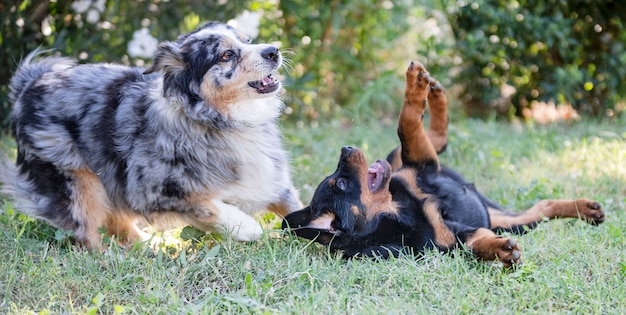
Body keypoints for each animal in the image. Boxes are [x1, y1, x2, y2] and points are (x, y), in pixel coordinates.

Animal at [0, 21, 302, 249]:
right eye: (227, 55)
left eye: (247, 40)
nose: (273, 51)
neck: (221, 120)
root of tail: (28, 84)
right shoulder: (150, 190)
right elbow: (208, 206)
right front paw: (246, 226)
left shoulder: (272, 179)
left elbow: (297, 208)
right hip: (77, 180)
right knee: (87, 233)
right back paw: (112, 257)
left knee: (118, 223)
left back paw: (146, 247)